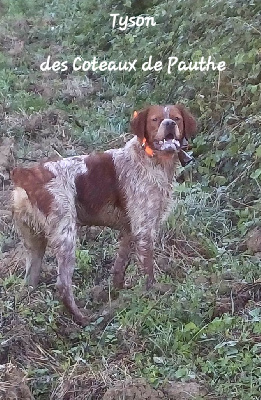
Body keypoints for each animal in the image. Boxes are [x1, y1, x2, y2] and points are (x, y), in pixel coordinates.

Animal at [11, 104, 196, 324]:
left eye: (176, 118)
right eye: (155, 119)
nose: (169, 124)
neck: (152, 159)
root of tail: (25, 176)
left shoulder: (129, 230)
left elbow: (119, 267)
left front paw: (118, 296)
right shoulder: (143, 230)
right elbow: (148, 271)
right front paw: (153, 297)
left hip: (33, 242)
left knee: (29, 282)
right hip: (65, 234)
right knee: (63, 286)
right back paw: (83, 319)